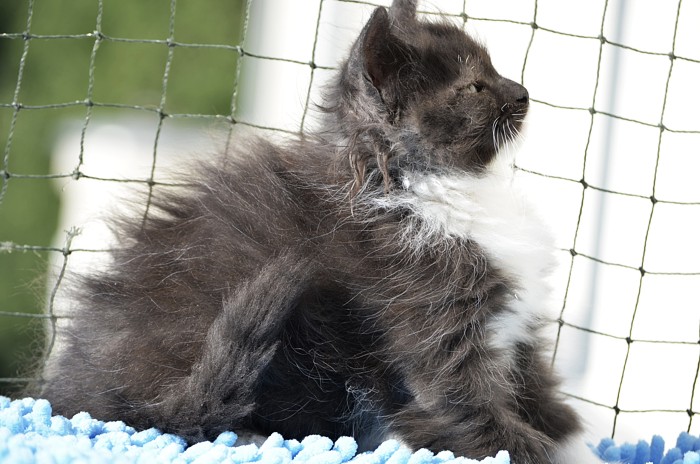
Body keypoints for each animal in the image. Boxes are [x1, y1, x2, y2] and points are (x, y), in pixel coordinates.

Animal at [39, 1, 601, 463]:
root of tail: (72, 391)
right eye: (475, 87)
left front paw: (573, 440)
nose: (523, 92)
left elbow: (546, 399)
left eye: (494, 70)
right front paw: (525, 447)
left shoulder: (515, 329)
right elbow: (469, 409)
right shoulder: (431, 325)